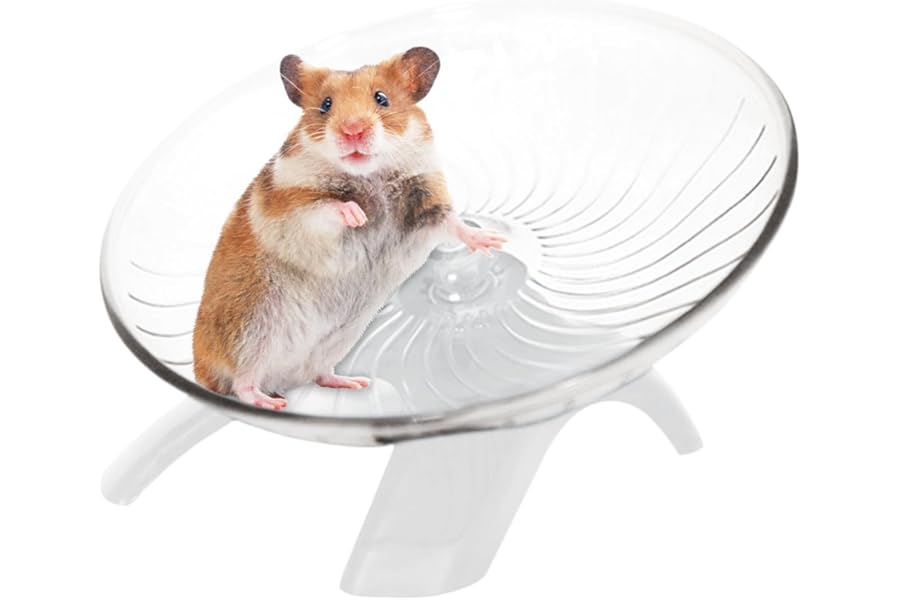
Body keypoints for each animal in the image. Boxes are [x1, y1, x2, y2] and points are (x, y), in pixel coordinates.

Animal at [192, 47, 506, 410]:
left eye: (382, 98)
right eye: (326, 104)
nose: (352, 130)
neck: (369, 175)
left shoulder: (427, 204)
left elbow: (453, 224)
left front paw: (494, 241)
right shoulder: (291, 207)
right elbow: (326, 207)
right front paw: (357, 216)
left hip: (332, 342)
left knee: (318, 375)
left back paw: (354, 382)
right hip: (252, 331)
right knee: (242, 382)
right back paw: (272, 403)